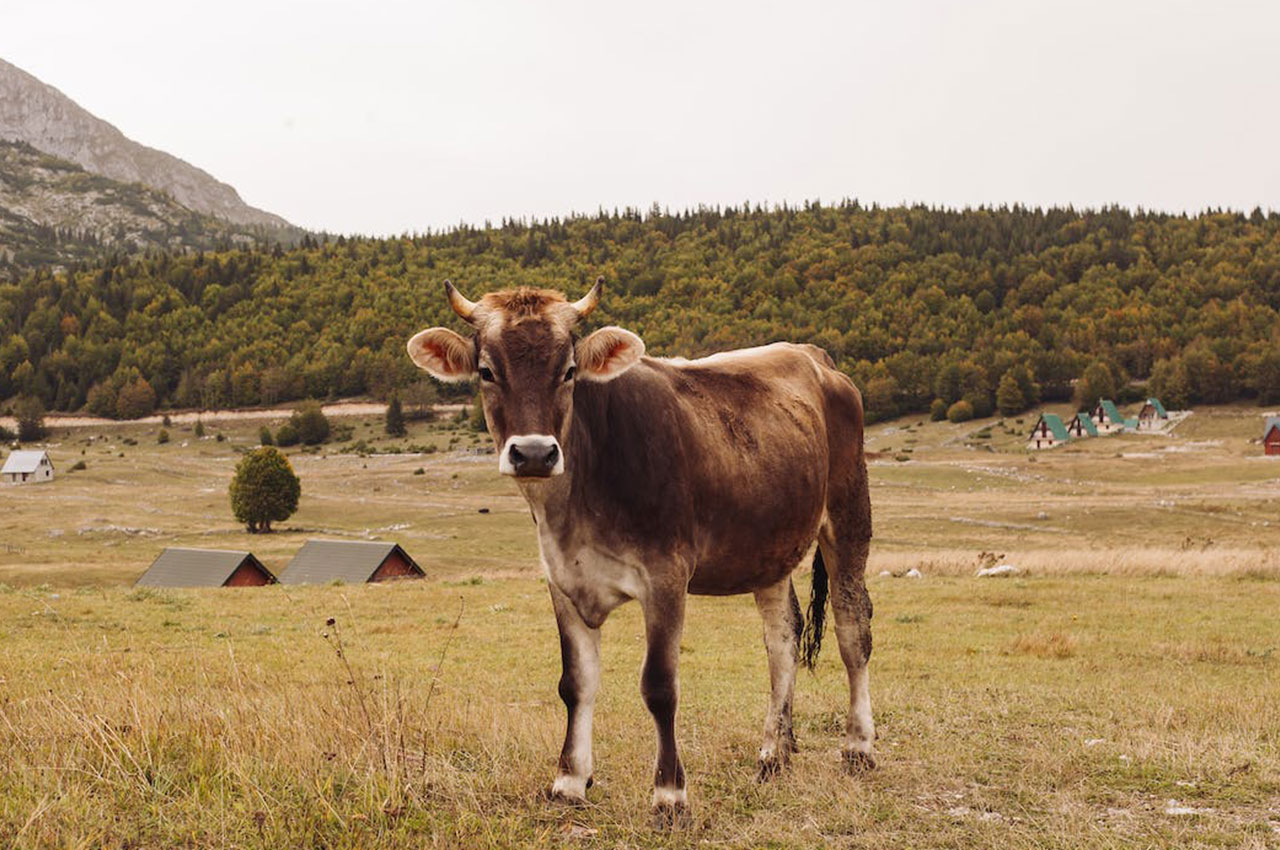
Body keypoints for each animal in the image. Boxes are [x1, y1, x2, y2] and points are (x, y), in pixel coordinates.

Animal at [404, 281, 875, 819]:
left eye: (569, 370)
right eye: (486, 371)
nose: (535, 453)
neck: (576, 506)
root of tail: (813, 355)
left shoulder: (665, 576)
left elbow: (660, 687)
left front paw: (669, 793)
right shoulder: (563, 580)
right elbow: (575, 683)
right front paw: (569, 780)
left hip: (848, 514)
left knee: (853, 630)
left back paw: (858, 746)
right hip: (770, 546)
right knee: (783, 639)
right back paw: (774, 752)